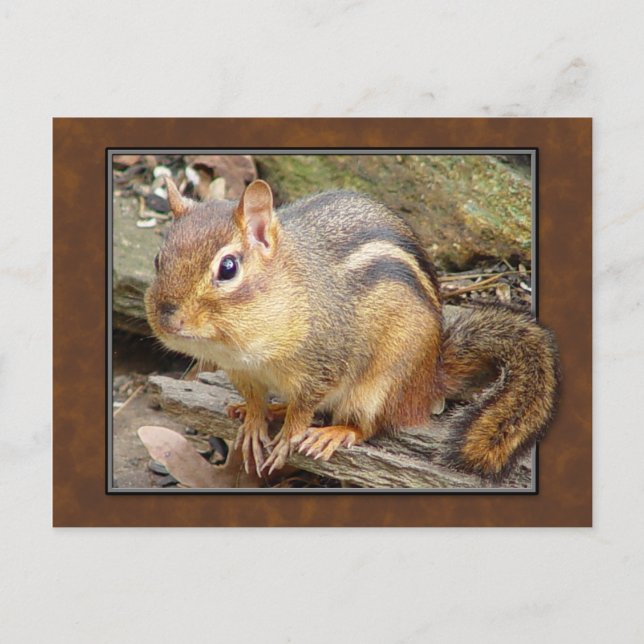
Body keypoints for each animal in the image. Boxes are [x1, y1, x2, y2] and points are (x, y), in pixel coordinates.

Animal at [145, 177, 560, 481]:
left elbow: (307, 406)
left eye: (228, 268)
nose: (167, 318)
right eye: (158, 259)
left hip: (380, 386)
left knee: (370, 425)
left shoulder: (325, 361)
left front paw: (288, 437)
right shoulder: (242, 373)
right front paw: (254, 421)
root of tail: (430, 378)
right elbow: (256, 400)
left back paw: (335, 431)